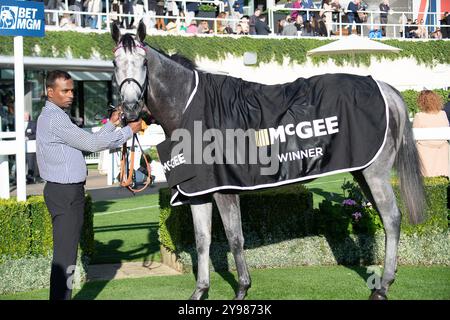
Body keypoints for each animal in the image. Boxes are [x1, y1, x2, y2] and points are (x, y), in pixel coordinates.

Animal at [111, 21, 426, 302]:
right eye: (115, 63)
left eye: (143, 62)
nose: (130, 109)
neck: (191, 109)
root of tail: (383, 87)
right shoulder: (199, 192)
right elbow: (202, 241)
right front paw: (200, 291)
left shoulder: (224, 190)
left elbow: (234, 238)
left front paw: (241, 289)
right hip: (361, 171)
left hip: (375, 174)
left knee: (391, 219)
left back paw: (383, 287)